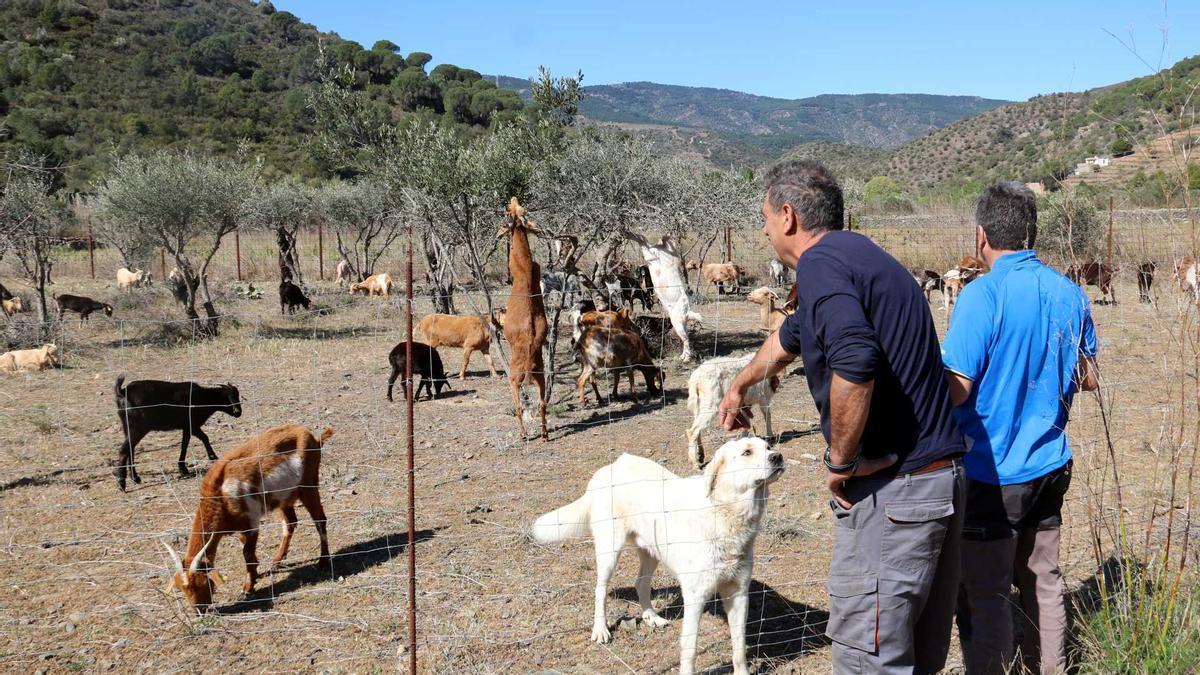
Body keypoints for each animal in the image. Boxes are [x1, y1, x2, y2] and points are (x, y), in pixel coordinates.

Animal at [112, 372, 243, 487]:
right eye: (233, 396)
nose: (239, 413)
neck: (204, 398)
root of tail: (122, 392)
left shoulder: (188, 426)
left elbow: (192, 441)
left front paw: (187, 466)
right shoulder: (192, 424)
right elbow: (196, 441)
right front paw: (208, 458)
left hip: (127, 426)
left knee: (130, 449)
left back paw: (135, 478)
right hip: (138, 427)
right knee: (124, 450)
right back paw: (121, 483)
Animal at [162, 425, 336, 610]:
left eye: (202, 583)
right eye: (181, 588)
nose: (198, 611)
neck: (220, 496)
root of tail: (312, 436)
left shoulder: (251, 523)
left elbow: (247, 554)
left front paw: (248, 586)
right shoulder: (241, 527)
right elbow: (246, 550)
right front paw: (255, 575)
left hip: (309, 485)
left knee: (320, 520)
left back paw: (323, 561)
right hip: (285, 496)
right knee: (290, 523)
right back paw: (277, 559)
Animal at [532, 432, 777, 667]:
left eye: (768, 447)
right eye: (747, 452)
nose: (778, 457)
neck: (726, 513)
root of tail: (609, 467)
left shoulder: (738, 593)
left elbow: (739, 648)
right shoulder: (695, 597)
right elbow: (690, 649)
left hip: (652, 552)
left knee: (640, 583)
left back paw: (651, 617)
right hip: (609, 552)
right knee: (600, 589)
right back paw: (600, 629)